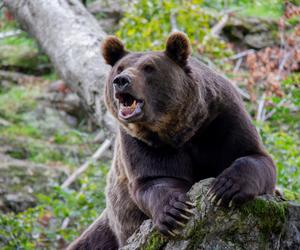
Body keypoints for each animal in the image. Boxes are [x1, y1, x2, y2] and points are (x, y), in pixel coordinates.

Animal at [67, 32, 276, 249]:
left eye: (149, 67)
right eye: (120, 67)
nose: (121, 80)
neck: (180, 128)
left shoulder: (221, 118)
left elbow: (252, 155)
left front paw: (225, 188)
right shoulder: (142, 141)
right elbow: (156, 179)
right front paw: (175, 211)